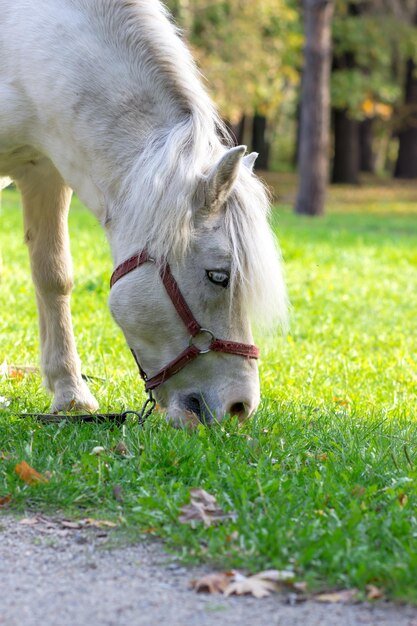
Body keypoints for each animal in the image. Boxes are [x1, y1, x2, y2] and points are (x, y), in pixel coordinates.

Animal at [0, 0, 286, 424]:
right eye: (218, 276)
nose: (240, 407)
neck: (25, 43)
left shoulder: (44, 170)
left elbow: (53, 277)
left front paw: (70, 393)